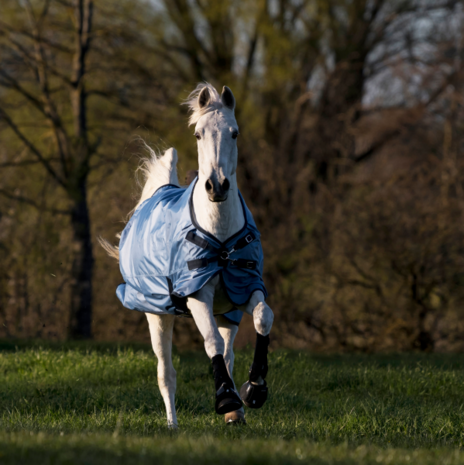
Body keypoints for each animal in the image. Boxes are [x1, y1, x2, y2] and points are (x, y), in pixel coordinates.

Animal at [99, 82, 272, 424]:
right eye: (198, 133)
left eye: (234, 133)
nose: (217, 186)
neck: (220, 241)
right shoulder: (196, 294)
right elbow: (210, 342)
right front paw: (226, 399)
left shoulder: (244, 287)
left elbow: (263, 319)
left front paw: (254, 390)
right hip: (157, 314)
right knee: (166, 374)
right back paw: (173, 423)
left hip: (227, 313)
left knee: (229, 354)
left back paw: (236, 410)